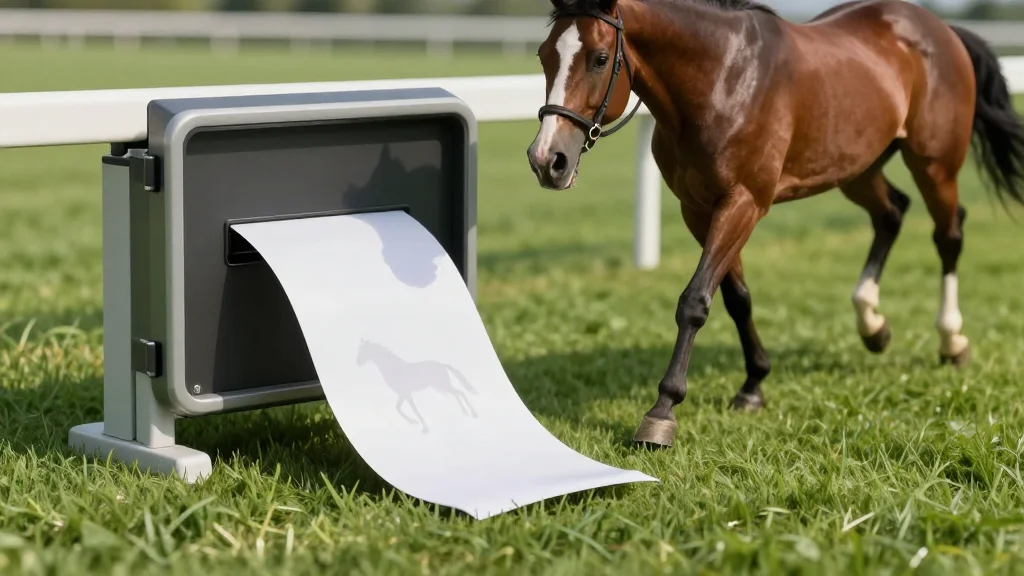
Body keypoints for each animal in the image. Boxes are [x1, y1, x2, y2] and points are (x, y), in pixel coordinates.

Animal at [525, 0, 1024, 448]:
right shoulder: (697, 209)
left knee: (948, 235)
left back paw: (951, 341)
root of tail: (941, 30)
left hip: (935, 165)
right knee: (892, 213)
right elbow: (736, 298)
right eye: (544, 54)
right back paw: (873, 325)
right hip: (857, 168)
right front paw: (753, 386)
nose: (547, 160)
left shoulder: (743, 202)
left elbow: (695, 301)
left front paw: (662, 413)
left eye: (599, 57)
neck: (721, 80)